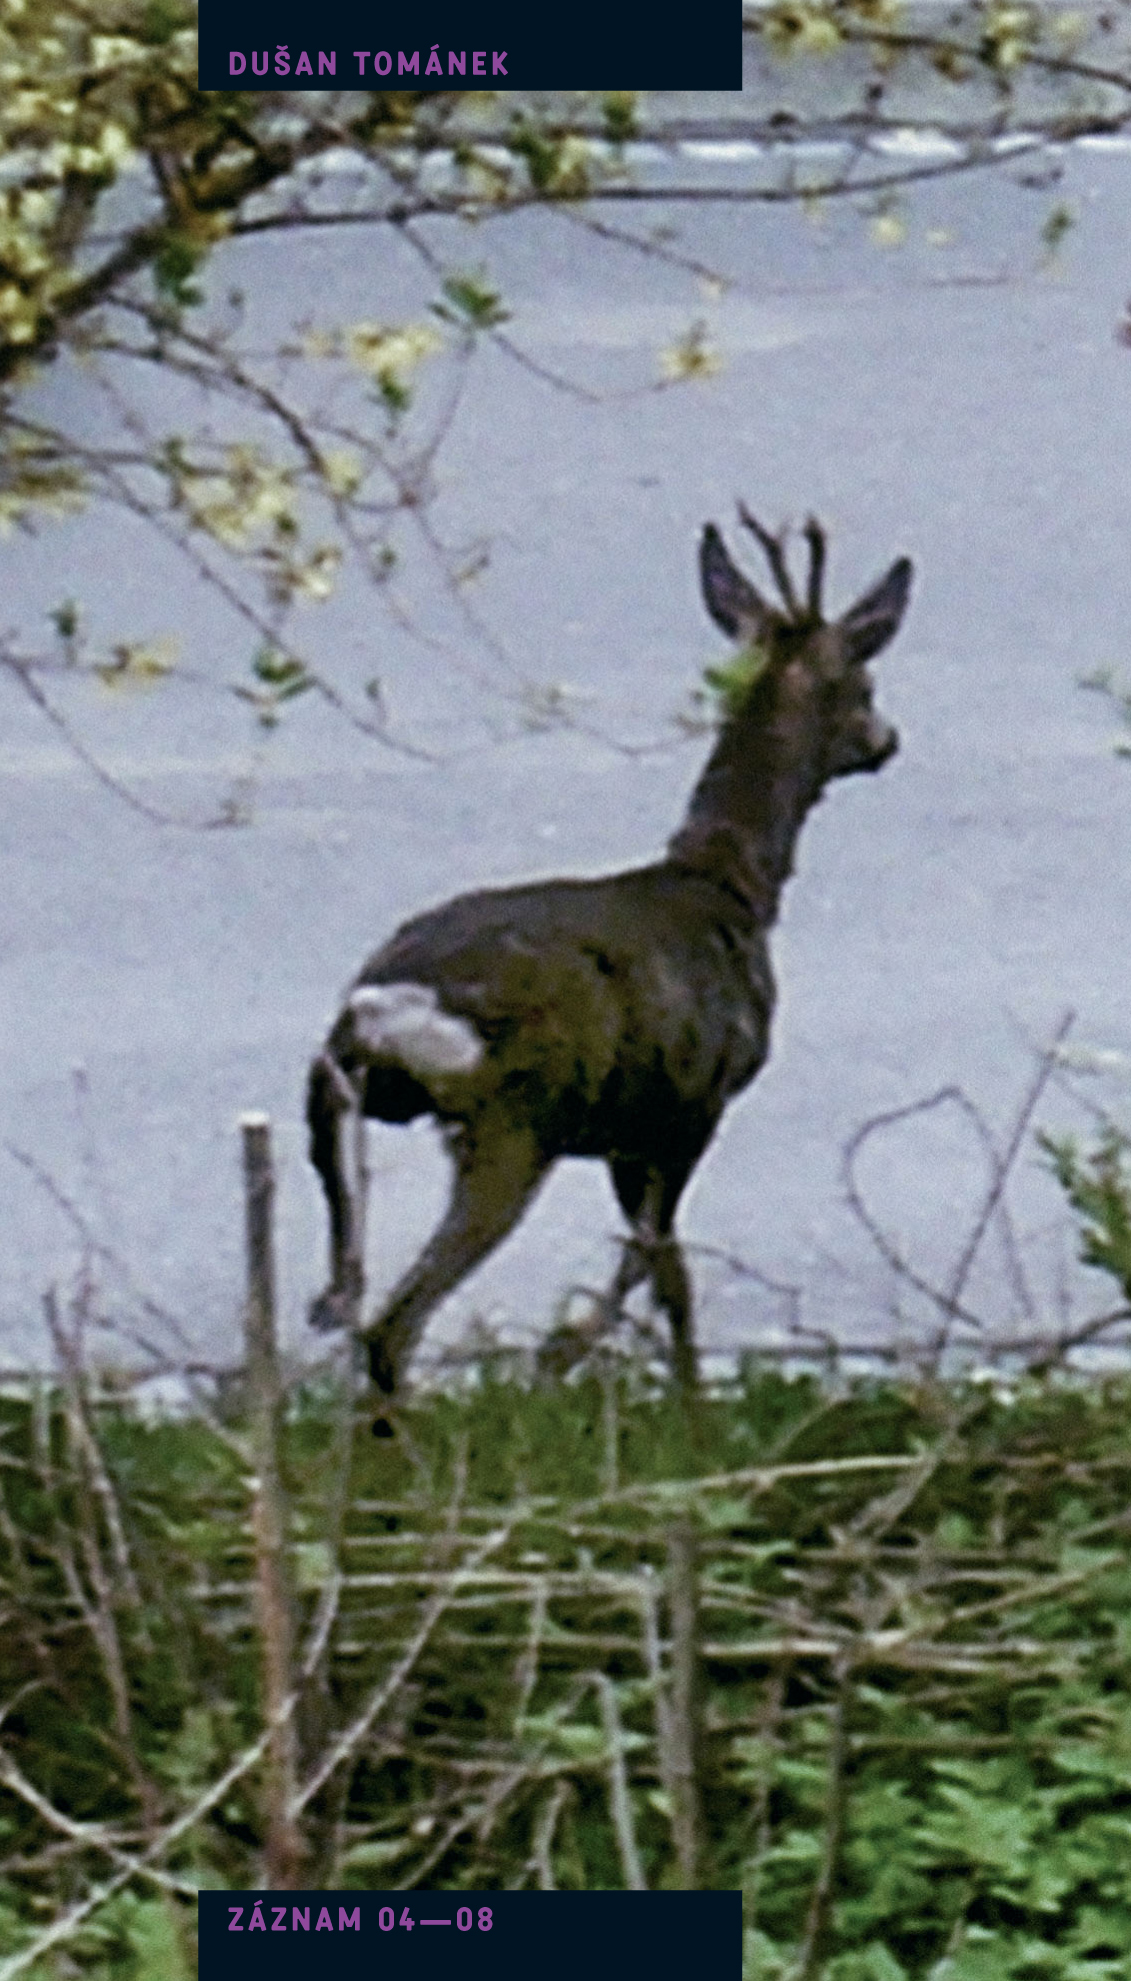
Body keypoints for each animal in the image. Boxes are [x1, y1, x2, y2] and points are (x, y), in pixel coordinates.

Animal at [307, 507, 912, 1431]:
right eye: (864, 682)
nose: (887, 740)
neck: (726, 883)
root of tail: (381, 1003)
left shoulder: (634, 1127)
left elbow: (645, 1253)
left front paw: (567, 1356)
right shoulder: (692, 1103)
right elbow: (667, 1266)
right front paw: (679, 1404)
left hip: (339, 1107)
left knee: (340, 1295)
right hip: (511, 1121)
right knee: (391, 1325)